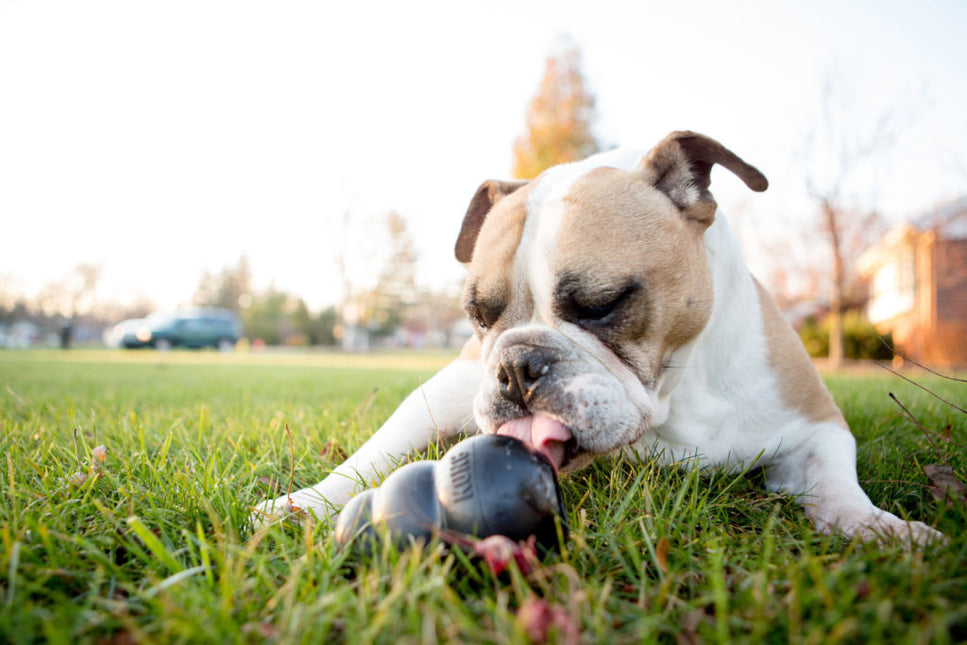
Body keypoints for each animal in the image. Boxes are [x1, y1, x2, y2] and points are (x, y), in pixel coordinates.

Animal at [255, 131, 944, 544]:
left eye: (602, 304)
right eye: (479, 315)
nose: (515, 365)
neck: (673, 397)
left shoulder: (815, 424)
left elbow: (837, 481)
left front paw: (883, 529)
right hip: (443, 393)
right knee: (375, 451)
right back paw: (302, 502)